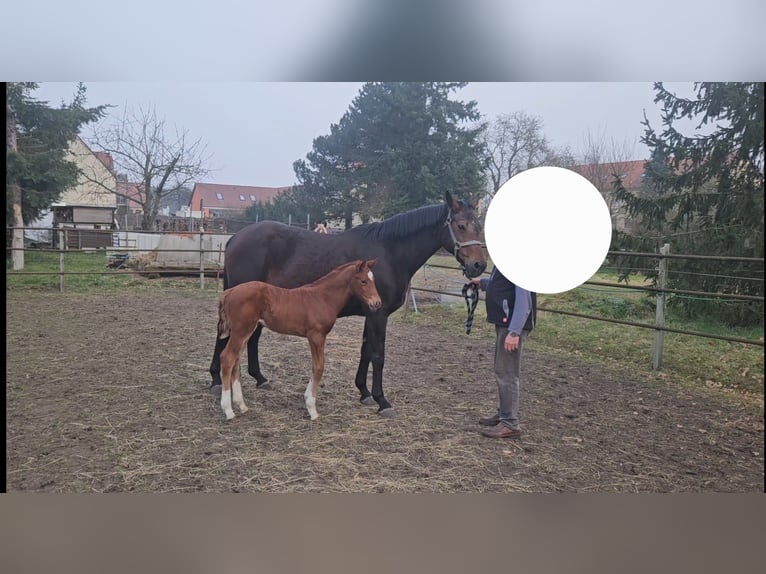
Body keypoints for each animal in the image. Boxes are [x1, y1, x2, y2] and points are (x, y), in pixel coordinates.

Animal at [216, 259, 382, 421]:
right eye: (363, 281)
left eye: (373, 280)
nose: (377, 303)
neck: (323, 298)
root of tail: (229, 292)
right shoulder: (316, 336)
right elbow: (318, 367)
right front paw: (312, 409)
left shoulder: (314, 337)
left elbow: (315, 367)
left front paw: (308, 400)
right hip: (241, 331)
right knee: (227, 358)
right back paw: (228, 410)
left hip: (245, 332)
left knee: (236, 360)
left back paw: (241, 405)